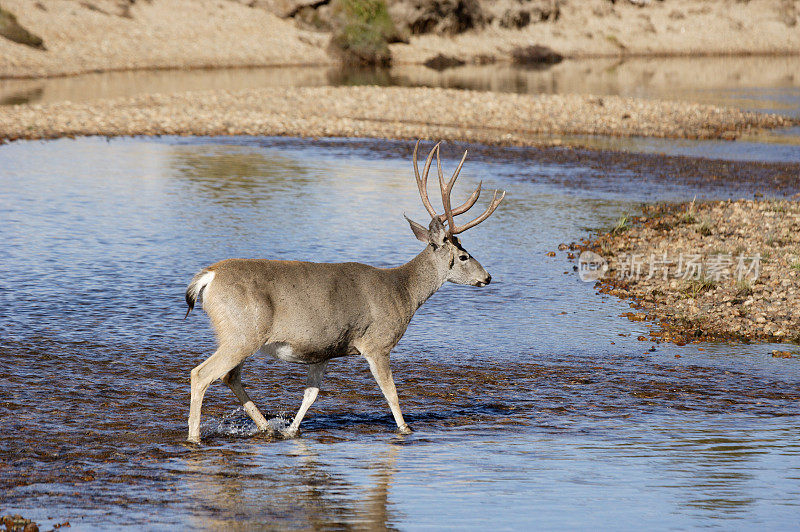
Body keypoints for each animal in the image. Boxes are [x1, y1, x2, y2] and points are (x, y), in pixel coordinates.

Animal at [184, 139, 504, 442]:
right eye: (463, 256)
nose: (487, 277)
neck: (403, 292)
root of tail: (208, 277)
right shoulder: (377, 343)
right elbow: (391, 392)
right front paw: (405, 429)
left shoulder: (323, 349)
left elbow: (311, 394)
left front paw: (292, 430)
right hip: (242, 332)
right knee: (202, 374)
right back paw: (194, 436)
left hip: (239, 335)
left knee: (230, 376)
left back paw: (267, 427)